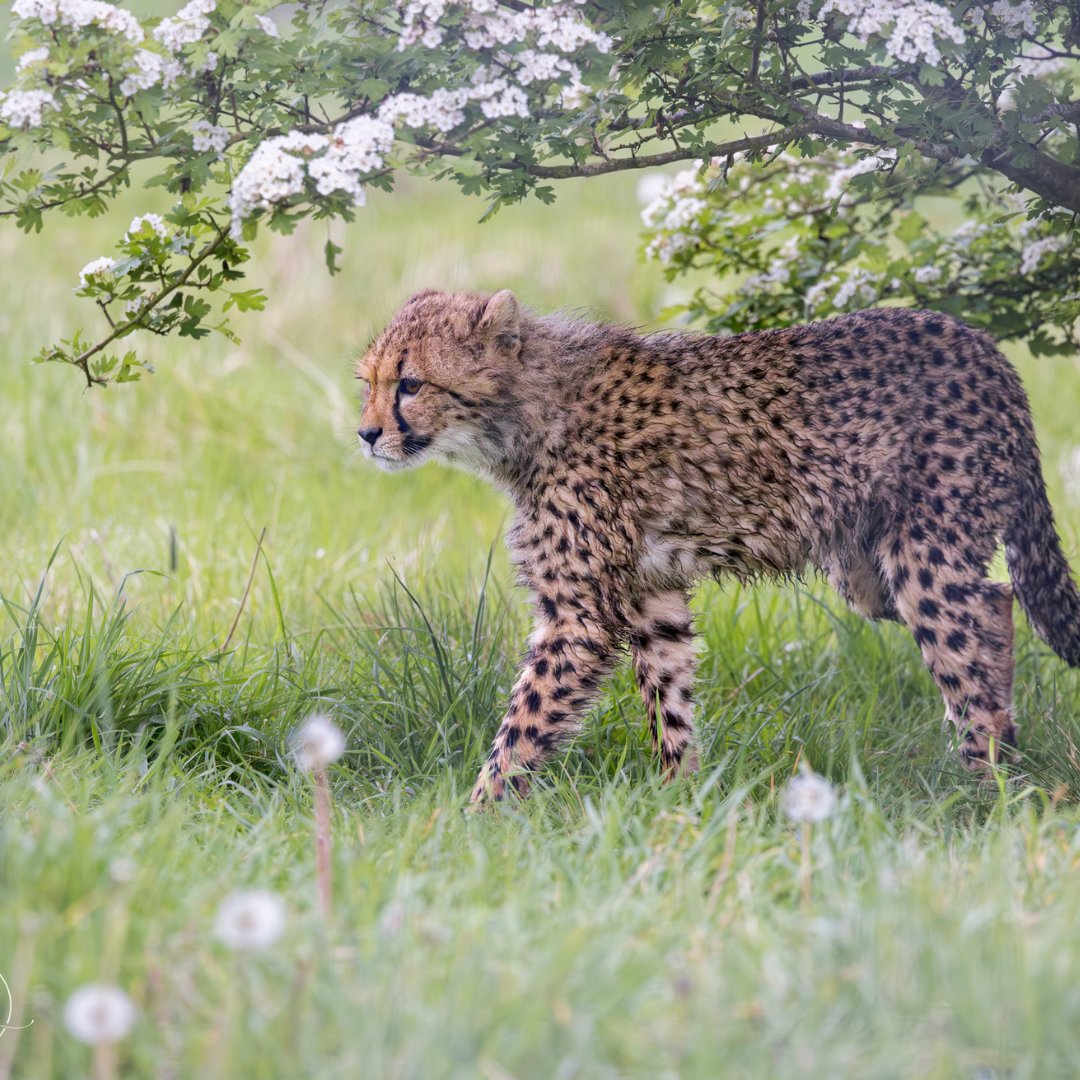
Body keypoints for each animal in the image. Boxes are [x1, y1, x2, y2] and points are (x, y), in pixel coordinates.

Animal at [355, 288, 1080, 802]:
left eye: (410, 384)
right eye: (370, 382)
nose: (365, 435)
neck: (529, 411)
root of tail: (984, 347)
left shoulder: (578, 619)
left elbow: (523, 727)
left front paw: (476, 816)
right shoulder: (652, 595)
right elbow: (668, 697)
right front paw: (681, 801)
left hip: (921, 551)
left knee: (973, 617)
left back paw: (985, 780)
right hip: (866, 571)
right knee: (995, 601)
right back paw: (997, 757)